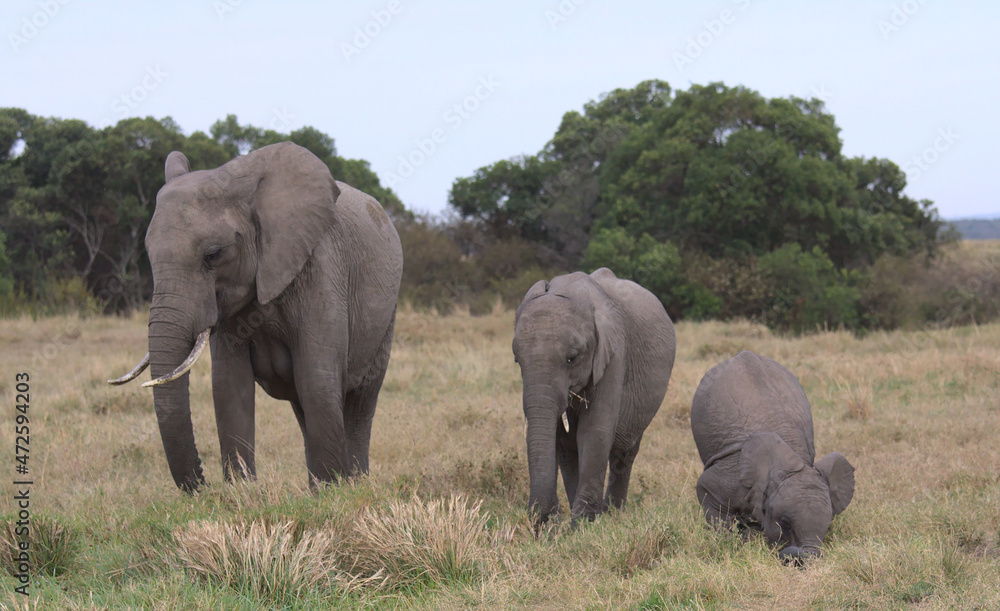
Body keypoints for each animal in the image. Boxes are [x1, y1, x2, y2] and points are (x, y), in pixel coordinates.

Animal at [109, 141, 402, 491]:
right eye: (149, 255)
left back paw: (354, 483)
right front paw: (242, 493)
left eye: (213, 255)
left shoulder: (319, 266)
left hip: (387, 314)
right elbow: (229, 387)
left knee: (360, 402)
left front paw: (330, 493)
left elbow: (317, 379)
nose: (203, 487)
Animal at [512, 268, 676, 527]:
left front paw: (583, 526)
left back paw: (614, 513)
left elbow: (595, 430)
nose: (542, 520)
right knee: (570, 450)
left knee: (624, 452)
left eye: (572, 358)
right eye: (517, 360)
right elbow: (560, 438)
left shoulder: (613, 353)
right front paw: (563, 525)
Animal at [690, 351, 855, 562]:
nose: (804, 558)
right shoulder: (731, 478)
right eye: (784, 523)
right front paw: (733, 542)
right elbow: (706, 489)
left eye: (827, 527)